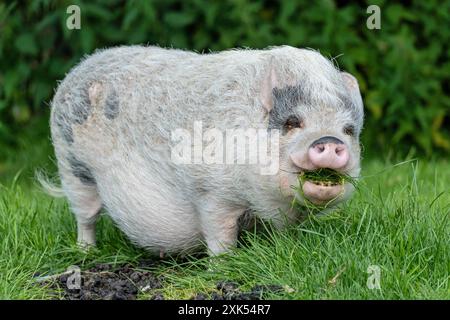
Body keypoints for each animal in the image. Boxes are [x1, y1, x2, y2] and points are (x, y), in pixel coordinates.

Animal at [44, 45, 364, 255]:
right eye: (292, 122)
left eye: (348, 130)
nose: (330, 140)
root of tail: (78, 69)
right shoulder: (212, 193)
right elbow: (219, 234)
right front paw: (223, 264)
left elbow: (287, 232)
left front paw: (288, 248)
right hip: (72, 166)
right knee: (86, 215)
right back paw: (86, 252)